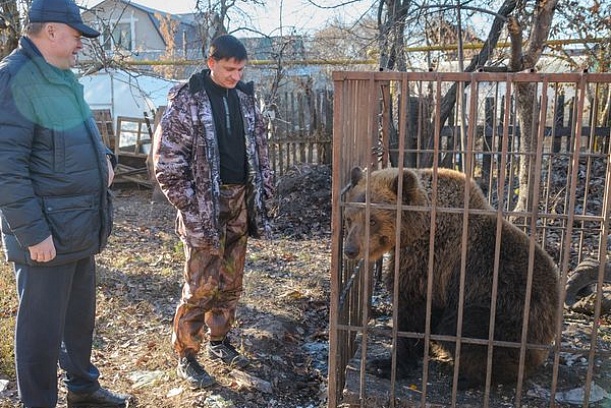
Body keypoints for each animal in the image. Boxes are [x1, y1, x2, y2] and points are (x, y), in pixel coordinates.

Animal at [344, 166, 560, 388]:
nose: (350, 250)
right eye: (349, 218)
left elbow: (410, 312)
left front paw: (385, 364)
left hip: (510, 314)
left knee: (460, 328)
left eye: (372, 220)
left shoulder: (428, 263)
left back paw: (469, 376)